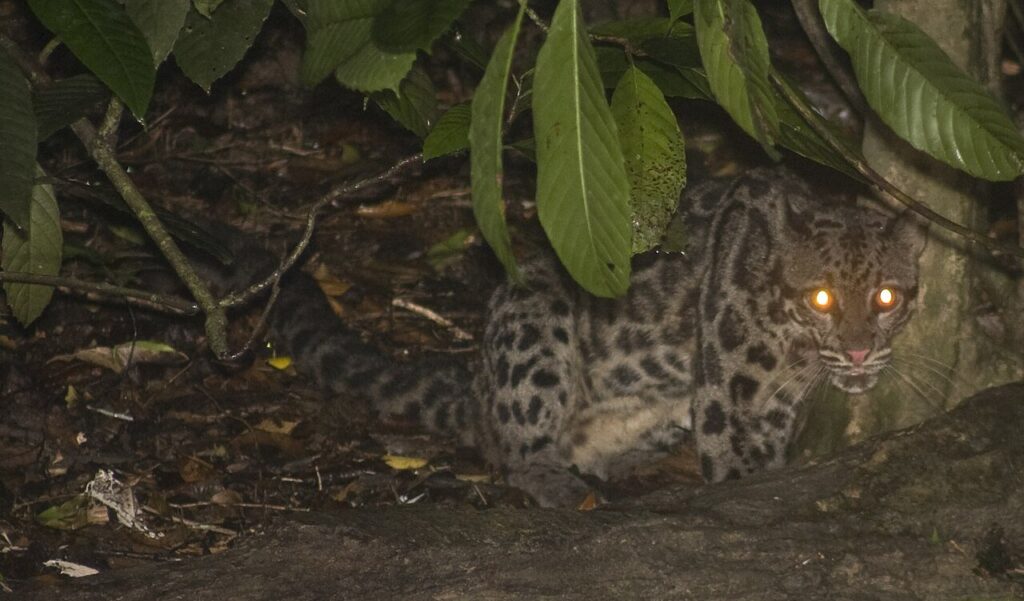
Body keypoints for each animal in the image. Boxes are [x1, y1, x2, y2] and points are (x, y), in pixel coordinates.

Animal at [247, 167, 926, 507]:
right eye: (822, 299)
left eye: (887, 298)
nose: (860, 350)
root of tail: (475, 388)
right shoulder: (727, 399)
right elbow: (736, 472)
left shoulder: (768, 410)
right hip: (534, 317)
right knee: (515, 453)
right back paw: (560, 484)